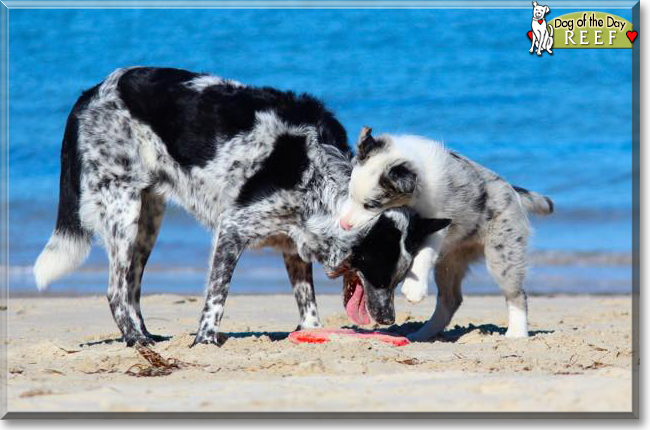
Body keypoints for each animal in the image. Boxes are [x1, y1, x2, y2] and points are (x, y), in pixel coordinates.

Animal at [33, 68, 448, 350]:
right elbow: (216, 297)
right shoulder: (232, 231)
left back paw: (147, 334)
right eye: (379, 273)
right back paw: (137, 341)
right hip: (124, 210)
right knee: (115, 290)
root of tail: (93, 91)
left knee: (132, 287)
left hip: (149, 218)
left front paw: (311, 333)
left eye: (399, 278)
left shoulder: (292, 244)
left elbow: (308, 305)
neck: (323, 178)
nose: (388, 320)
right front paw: (203, 343)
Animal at [334, 126, 552, 340]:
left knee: (517, 294)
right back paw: (423, 333)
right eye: (350, 194)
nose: (343, 224)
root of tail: (514, 193)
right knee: (450, 300)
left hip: (502, 253)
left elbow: (425, 252)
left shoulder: (439, 221)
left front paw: (414, 289)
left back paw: (517, 333)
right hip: (449, 263)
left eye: (371, 205)